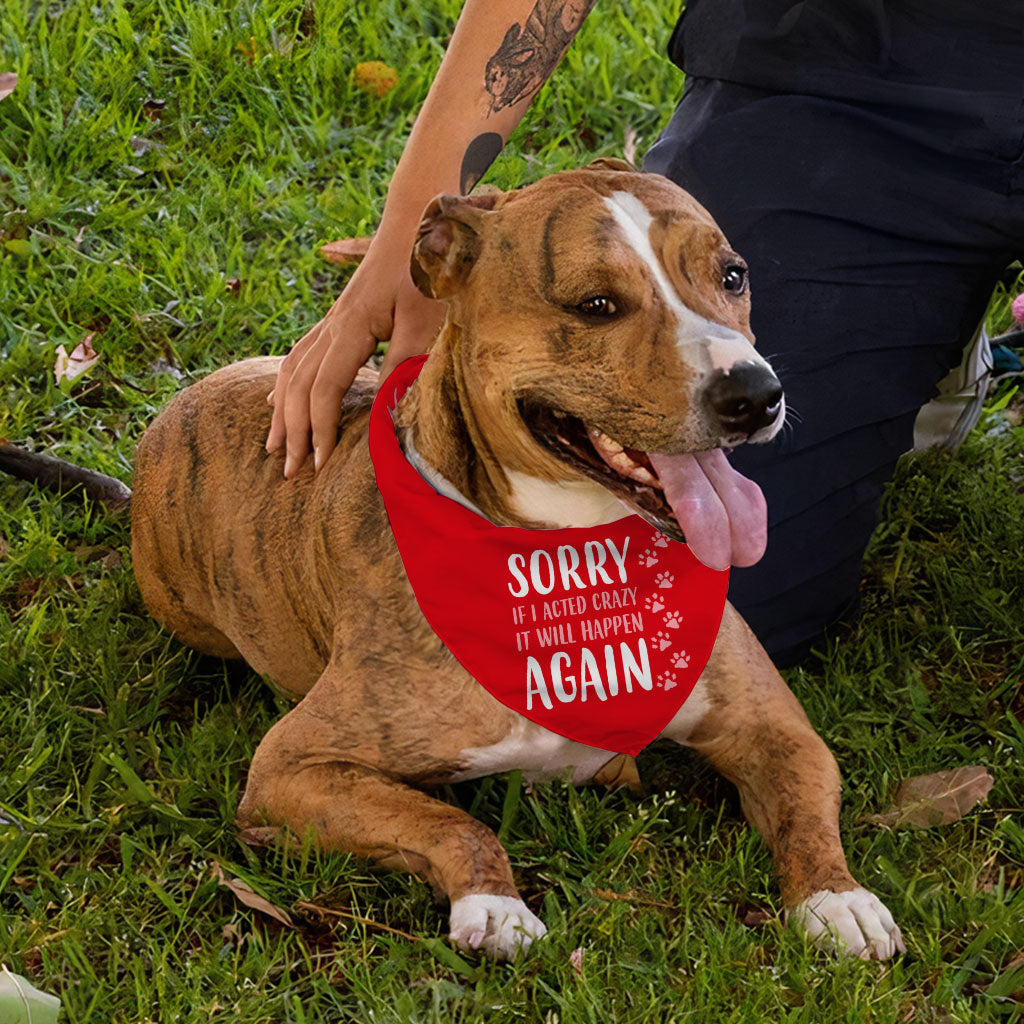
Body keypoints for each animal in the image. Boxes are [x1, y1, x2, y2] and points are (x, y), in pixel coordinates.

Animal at [121, 159, 905, 958]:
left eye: (733, 275)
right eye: (596, 305)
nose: (756, 393)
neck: (568, 551)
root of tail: (184, 399)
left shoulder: (775, 728)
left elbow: (806, 808)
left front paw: (837, 897)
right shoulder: (293, 766)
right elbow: (451, 821)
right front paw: (493, 904)